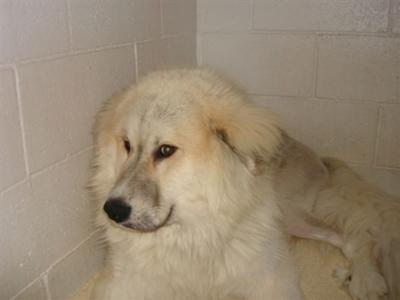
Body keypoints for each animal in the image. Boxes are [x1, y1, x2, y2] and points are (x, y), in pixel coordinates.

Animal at [89, 68, 398, 300]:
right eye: (126, 145)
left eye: (165, 150)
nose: (112, 210)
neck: (194, 234)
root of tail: (320, 159)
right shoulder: (125, 281)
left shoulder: (271, 278)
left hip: (292, 217)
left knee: (355, 237)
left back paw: (365, 280)